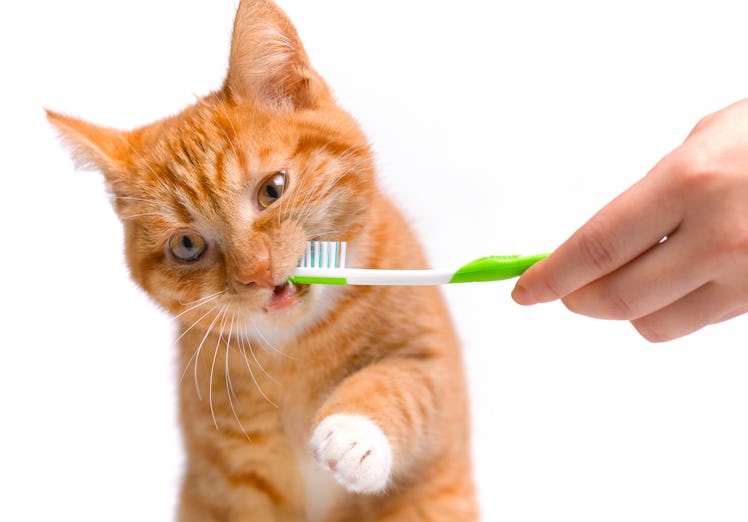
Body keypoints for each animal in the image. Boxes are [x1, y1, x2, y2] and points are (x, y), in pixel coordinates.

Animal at [48, 2, 480, 516]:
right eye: (187, 246)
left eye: (272, 189)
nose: (256, 271)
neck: (297, 346)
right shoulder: (232, 472)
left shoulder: (431, 357)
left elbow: (399, 382)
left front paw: (353, 435)